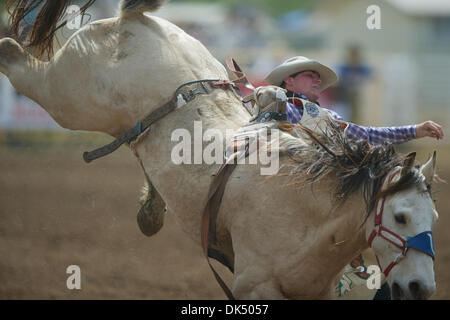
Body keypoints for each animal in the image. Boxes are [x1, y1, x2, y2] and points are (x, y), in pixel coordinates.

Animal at [0, 0, 438, 300]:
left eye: (432, 216)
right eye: (400, 217)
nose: (422, 287)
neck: (308, 217)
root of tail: (130, 17)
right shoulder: (253, 287)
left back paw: (150, 211)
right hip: (67, 94)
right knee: (17, 59)